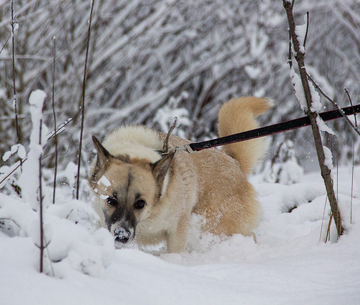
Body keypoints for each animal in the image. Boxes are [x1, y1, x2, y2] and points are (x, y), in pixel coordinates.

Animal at [90, 97, 272, 252]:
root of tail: (235, 162)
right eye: (110, 200)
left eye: (140, 203)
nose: (122, 236)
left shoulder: (177, 228)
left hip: (216, 226)